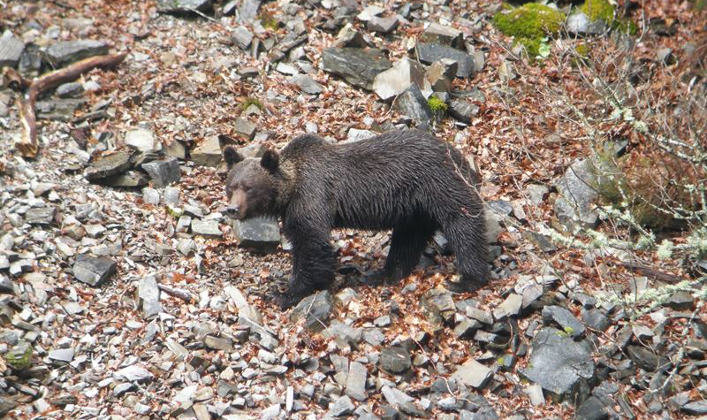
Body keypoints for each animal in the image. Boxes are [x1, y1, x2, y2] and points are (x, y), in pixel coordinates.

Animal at [224, 128, 490, 308]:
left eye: (249, 187)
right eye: (231, 186)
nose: (232, 209)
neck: (290, 189)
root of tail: (461, 157)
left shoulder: (312, 196)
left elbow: (312, 245)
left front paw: (285, 293)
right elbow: (302, 244)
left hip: (438, 183)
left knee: (463, 223)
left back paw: (467, 279)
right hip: (415, 209)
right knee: (407, 239)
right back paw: (383, 274)